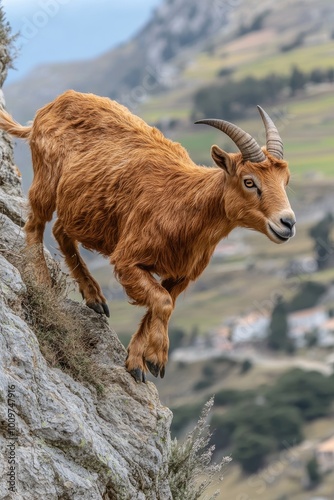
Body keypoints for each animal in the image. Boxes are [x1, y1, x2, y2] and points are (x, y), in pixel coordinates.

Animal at [0, 92, 296, 382]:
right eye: (249, 181)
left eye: (285, 181)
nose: (288, 223)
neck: (184, 206)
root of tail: (48, 108)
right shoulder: (128, 259)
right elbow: (162, 303)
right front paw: (156, 359)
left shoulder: (180, 274)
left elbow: (162, 304)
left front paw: (137, 363)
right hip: (46, 178)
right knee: (36, 224)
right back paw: (42, 281)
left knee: (61, 230)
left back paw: (94, 297)